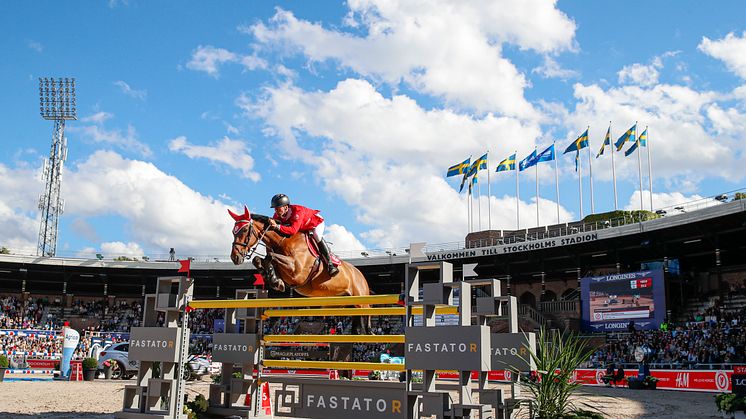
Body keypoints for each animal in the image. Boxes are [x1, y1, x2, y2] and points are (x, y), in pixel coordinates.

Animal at [224, 205, 370, 336]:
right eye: (233, 232)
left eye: (244, 230)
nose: (235, 257)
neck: (282, 241)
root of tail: (360, 275)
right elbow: (259, 259)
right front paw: (273, 279)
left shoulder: (297, 272)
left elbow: (270, 257)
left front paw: (275, 280)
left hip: (361, 299)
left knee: (367, 315)